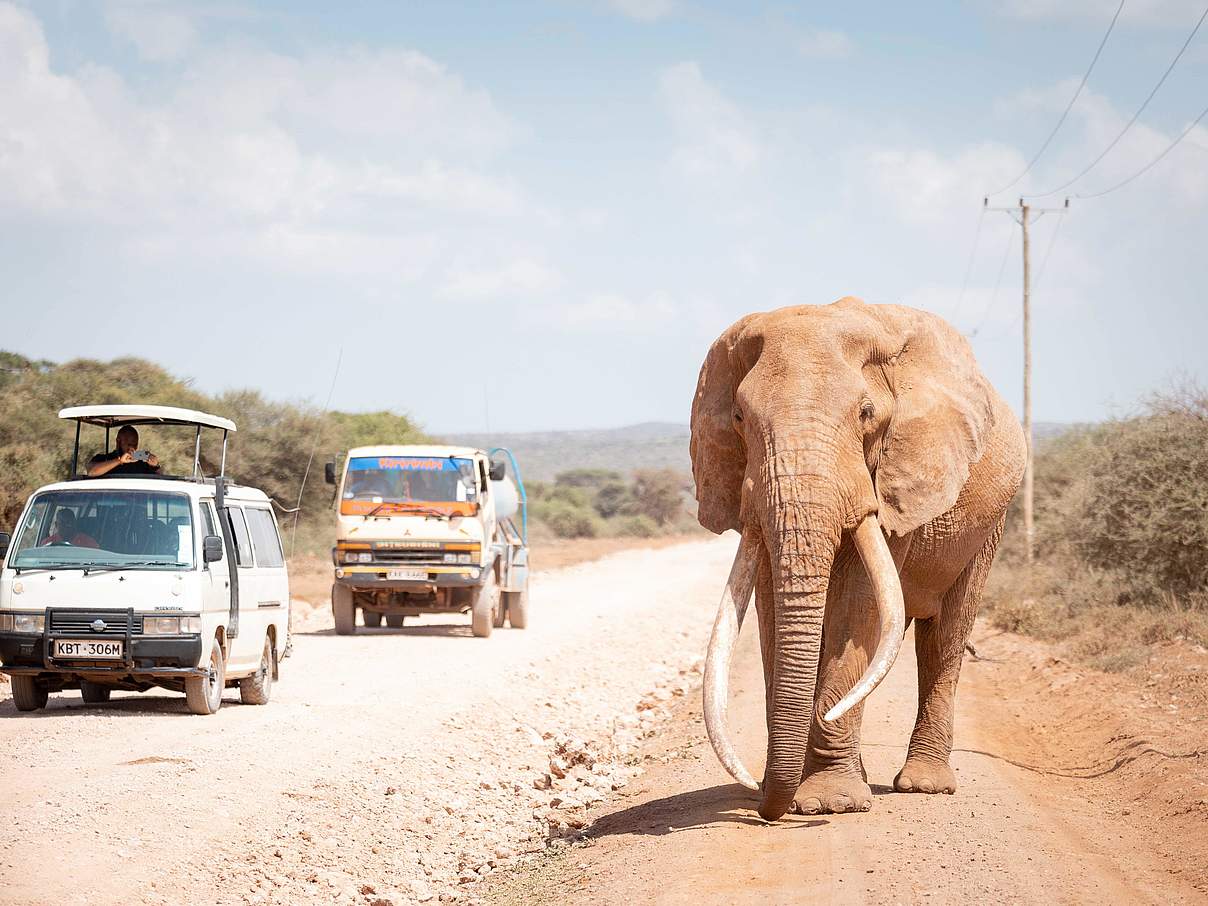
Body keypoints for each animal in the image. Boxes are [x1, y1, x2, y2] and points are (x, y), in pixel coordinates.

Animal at [695, 295, 1024, 821]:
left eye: (866, 413)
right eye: (740, 418)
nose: (764, 803)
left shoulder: (894, 478)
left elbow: (858, 604)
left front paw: (830, 802)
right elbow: (770, 607)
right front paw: (803, 793)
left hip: (990, 523)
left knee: (945, 636)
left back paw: (924, 786)